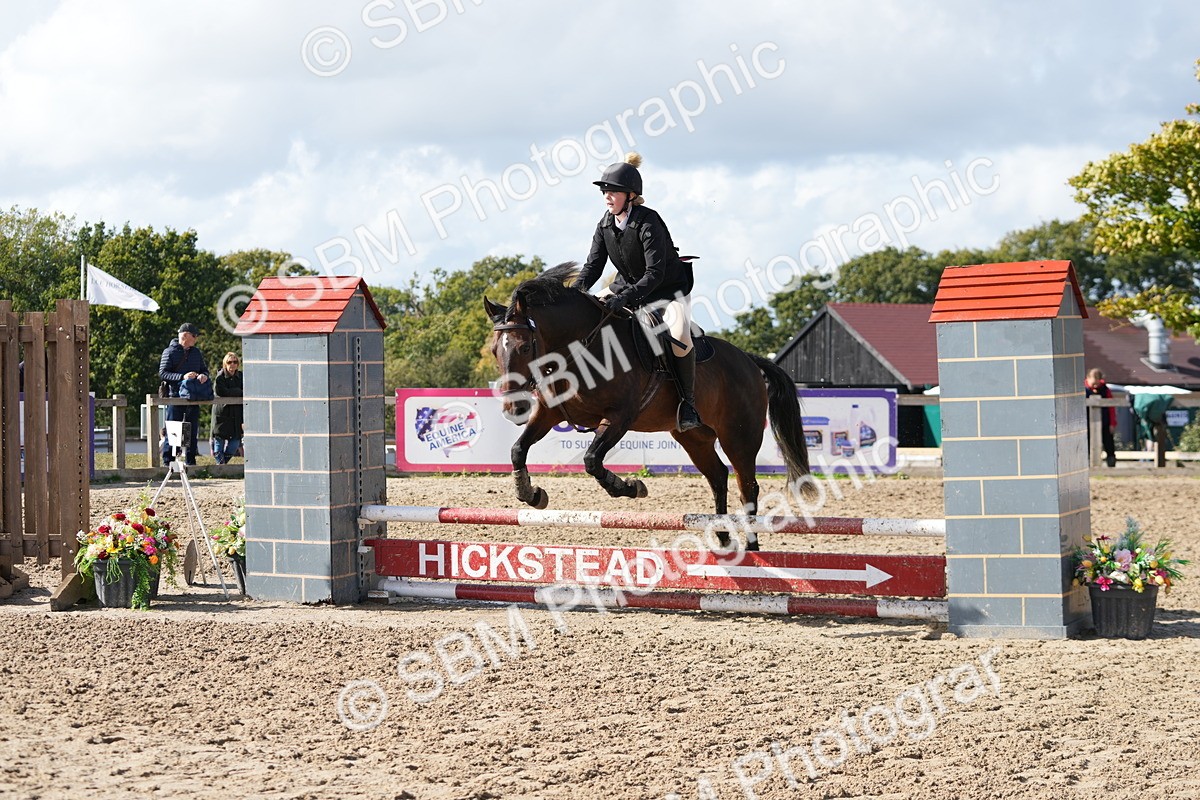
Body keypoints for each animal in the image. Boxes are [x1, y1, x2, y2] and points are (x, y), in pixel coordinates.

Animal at [483, 262, 814, 550]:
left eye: (525, 347)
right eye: (495, 350)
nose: (513, 409)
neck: (581, 350)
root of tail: (749, 360)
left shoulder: (619, 417)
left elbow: (592, 460)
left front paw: (630, 487)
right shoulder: (549, 413)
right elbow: (518, 450)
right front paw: (530, 493)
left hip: (739, 436)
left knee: (748, 486)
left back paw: (752, 545)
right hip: (694, 437)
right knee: (718, 476)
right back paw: (722, 536)